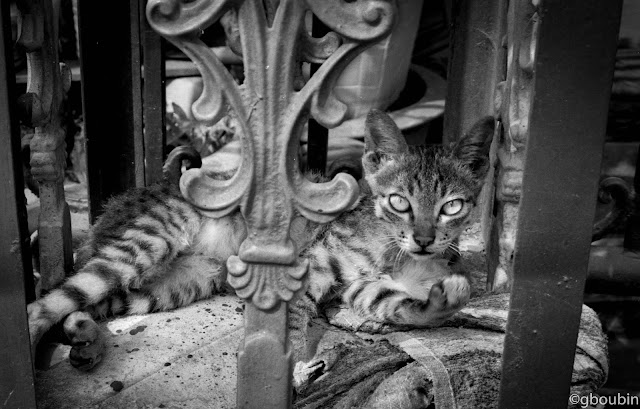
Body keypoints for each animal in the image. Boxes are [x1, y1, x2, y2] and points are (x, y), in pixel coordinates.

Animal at [26, 108, 496, 370]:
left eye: (452, 206)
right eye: (399, 201)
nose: (424, 239)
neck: (392, 251)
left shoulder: (360, 288)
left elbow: (404, 306)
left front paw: (442, 302)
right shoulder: (312, 267)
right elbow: (294, 319)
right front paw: (292, 369)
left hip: (170, 286)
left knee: (89, 304)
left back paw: (86, 341)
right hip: (146, 243)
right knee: (50, 300)